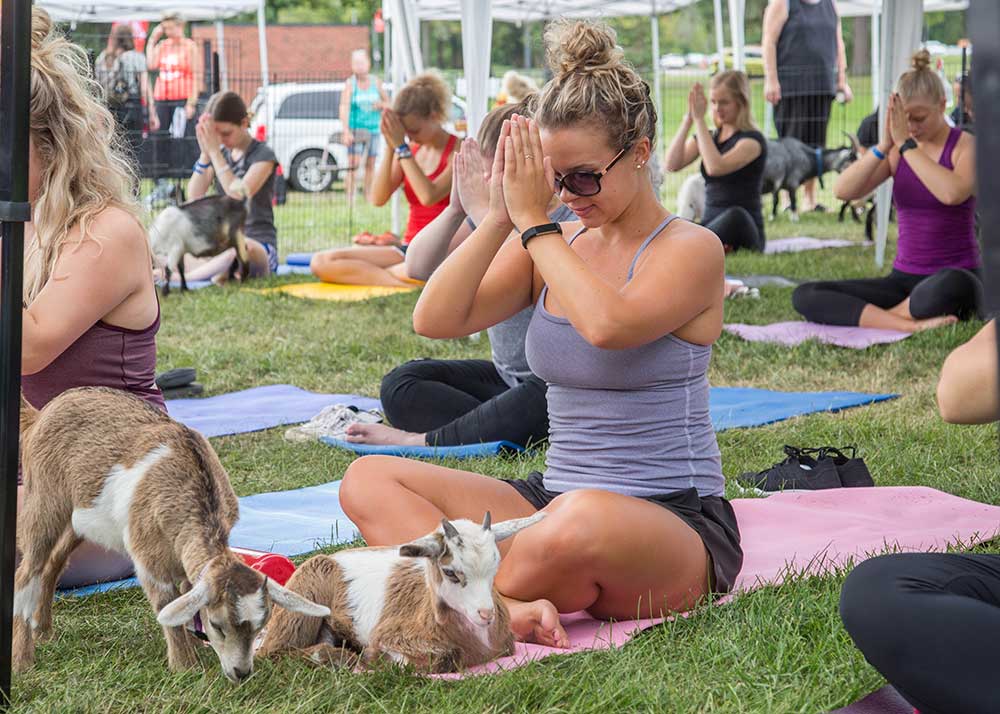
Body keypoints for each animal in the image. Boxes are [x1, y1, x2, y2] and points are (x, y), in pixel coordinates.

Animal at [14, 386, 328, 680]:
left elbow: (186, 599)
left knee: (53, 563)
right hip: (44, 498)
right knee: (27, 571)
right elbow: (167, 605)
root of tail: (41, 415)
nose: (241, 672)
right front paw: (185, 666)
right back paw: (22, 660)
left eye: (261, 624)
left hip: (80, 518)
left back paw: (43, 631)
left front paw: (196, 649)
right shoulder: (148, 558)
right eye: (218, 625)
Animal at [254, 508, 544, 672]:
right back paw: (338, 657)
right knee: (271, 653)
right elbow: (444, 657)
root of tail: (333, 557)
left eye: (496, 566)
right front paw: (375, 658)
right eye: (450, 572)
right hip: (302, 602)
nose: (486, 614)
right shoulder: (393, 634)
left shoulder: (505, 645)